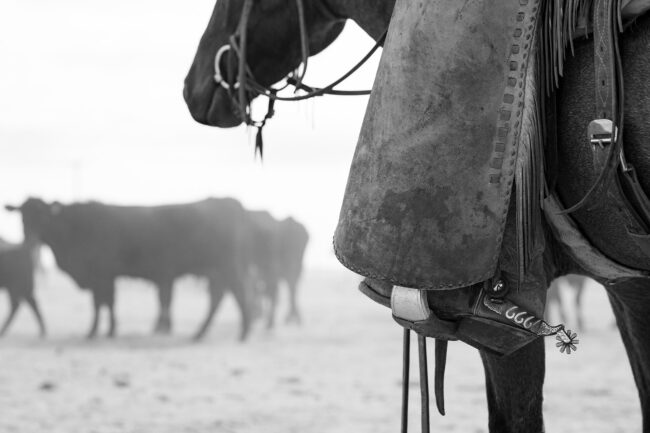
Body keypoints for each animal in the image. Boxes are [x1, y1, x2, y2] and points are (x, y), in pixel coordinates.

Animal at [6, 197, 252, 340]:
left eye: (42, 215)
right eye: (22, 216)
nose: (29, 239)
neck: (76, 227)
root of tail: (232, 202)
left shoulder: (102, 274)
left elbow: (103, 303)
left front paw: (100, 331)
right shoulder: (104, 276)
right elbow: (104, 303)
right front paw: (103, 330)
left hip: (227, 266)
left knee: (237, 294)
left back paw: (241, 332)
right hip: (218, 270)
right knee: (219, 297)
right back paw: (202, 333)